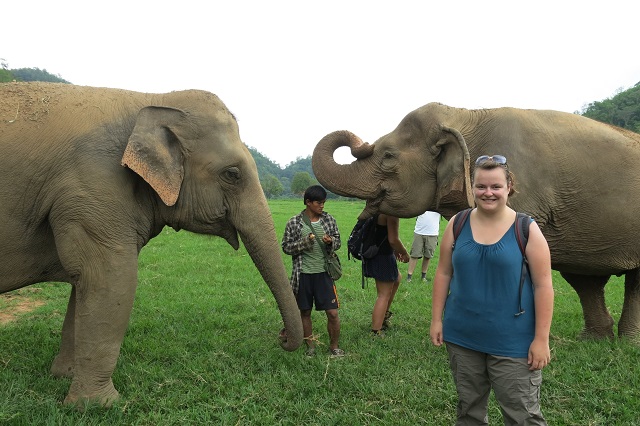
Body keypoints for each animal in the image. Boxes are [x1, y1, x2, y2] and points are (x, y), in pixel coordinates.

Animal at [0, 82, 302, 406]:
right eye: (232, 174)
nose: (283, 337)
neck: (153, 100)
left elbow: (84, 284)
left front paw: (64, 376)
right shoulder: (93, 186)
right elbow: (110, 279)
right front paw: (101, 405)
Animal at [312, 103, 640, 342]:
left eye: (389, 156)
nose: (361, 142)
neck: (464, 114)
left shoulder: (522, 197)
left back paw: (625, 343)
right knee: (585, 279)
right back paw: (595, 340)